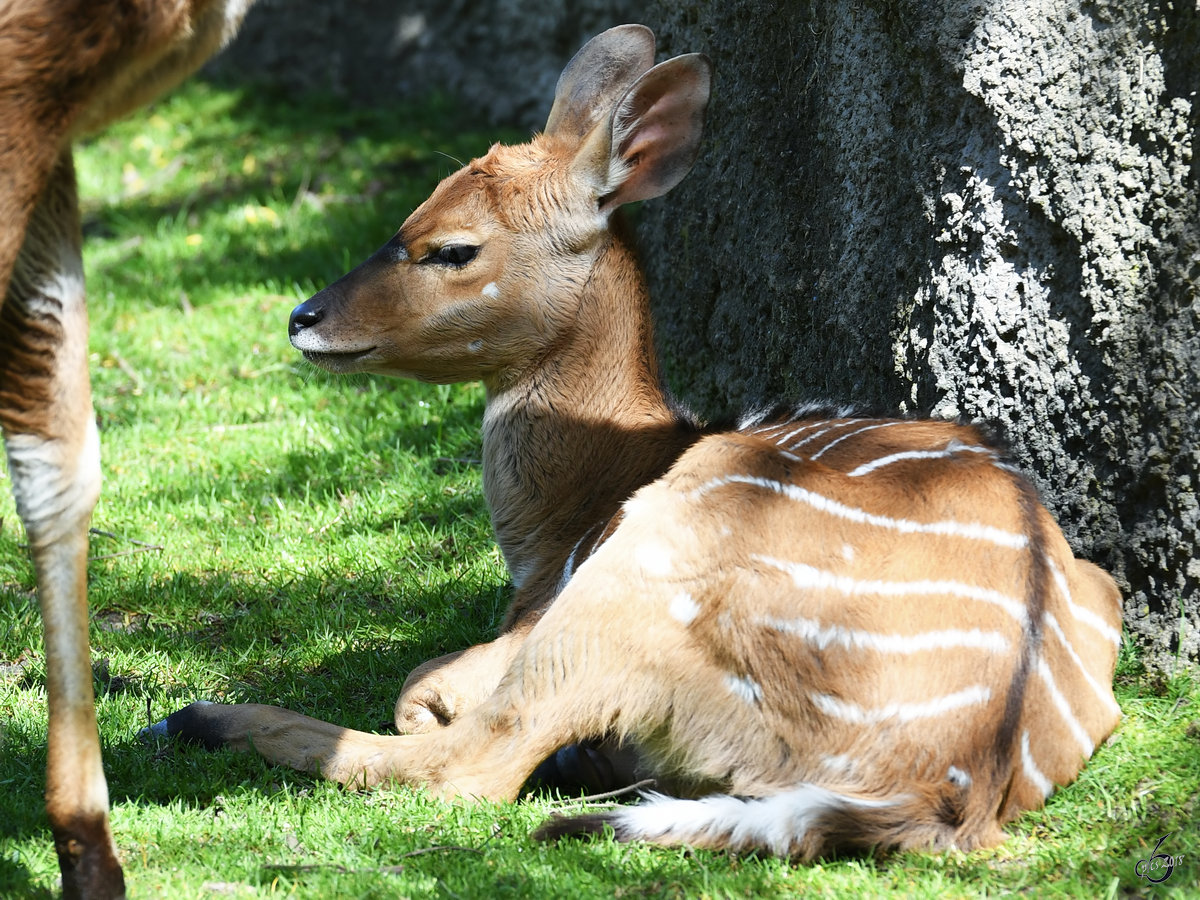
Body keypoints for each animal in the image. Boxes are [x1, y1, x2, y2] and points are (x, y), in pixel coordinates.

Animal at [152, 24, 1123, 859]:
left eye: (452, 247)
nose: (304, 317)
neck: (565, 521)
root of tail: (938, 790)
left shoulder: (550, 603)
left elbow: (424, 693)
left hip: (635, 577)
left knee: (472, 766)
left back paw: (197, 716)